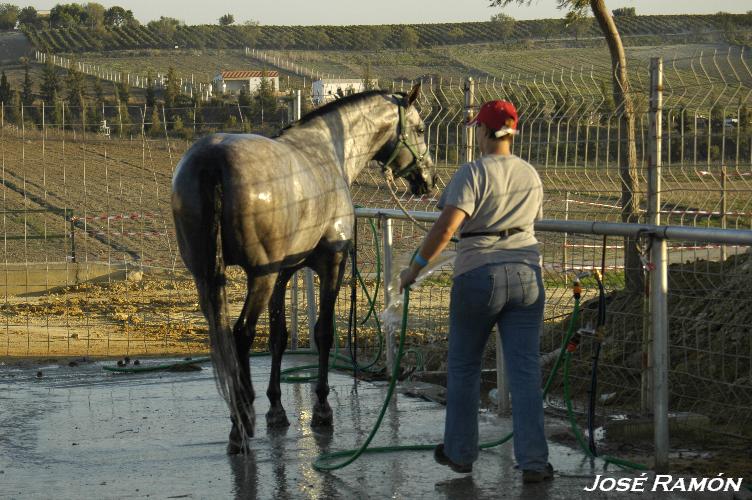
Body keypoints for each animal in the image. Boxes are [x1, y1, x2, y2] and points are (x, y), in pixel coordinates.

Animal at [170, 85, 434, 454]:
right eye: (420, 129)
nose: (429, 180)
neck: (329, 149)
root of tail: (212, 160)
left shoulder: (282, 274)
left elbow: (279, 336)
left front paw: (277, 409)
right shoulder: (330, 264)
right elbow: (323, 332)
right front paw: (322, 408)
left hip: (208, 275)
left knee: (224, 334)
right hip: (258, 277)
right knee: (241, 334)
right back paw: (242, 423)